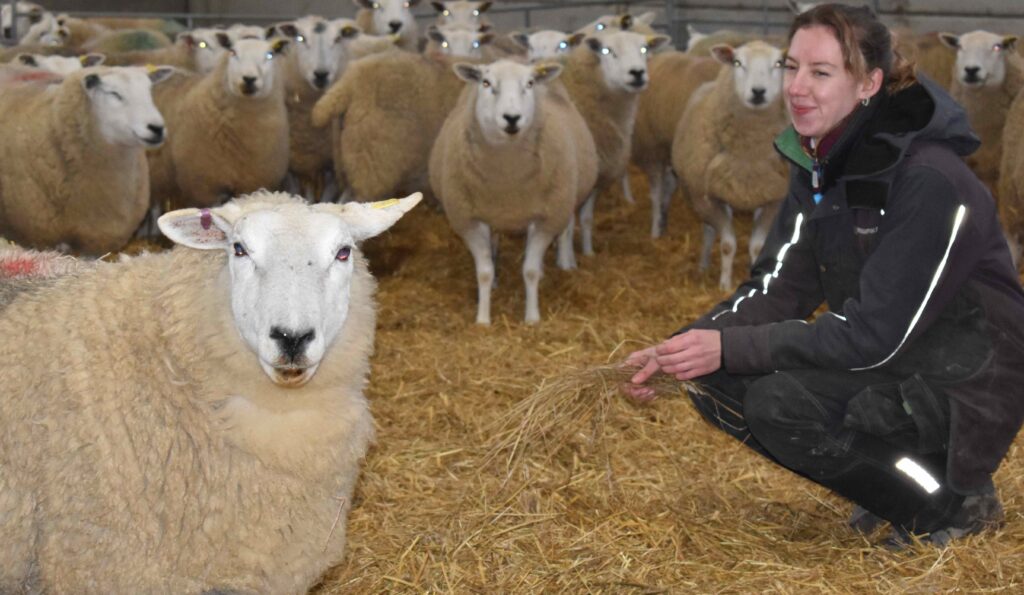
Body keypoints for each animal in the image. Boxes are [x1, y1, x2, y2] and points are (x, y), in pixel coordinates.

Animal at [273, 16, 363, 202]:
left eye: (338, 39)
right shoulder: (295, 160)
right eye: (301, 38)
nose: (321, 74)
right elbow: (298, 190)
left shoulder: (333, 162)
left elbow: (328, 195)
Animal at [430, 60, 597, 324]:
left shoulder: (545, 218)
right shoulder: (469, 220)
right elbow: (484, 272)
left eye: (529, 83)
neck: (507, 180)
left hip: (566, 197)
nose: (512, 118)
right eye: (485, 82)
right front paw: (483, 319)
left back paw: (564, 262)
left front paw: (532, 317)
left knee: (565, 230)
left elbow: (529, 270)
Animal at [559, 30, 670, 263]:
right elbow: (566, 227)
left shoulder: (595, 177)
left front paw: (588, 253)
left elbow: (587, 218)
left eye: (644, 48)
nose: (637, 73)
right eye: (607, 50)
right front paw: (566, 264)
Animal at [631, 49, 720, 238]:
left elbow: (656, 193)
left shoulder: (652, 150)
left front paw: (655, 231)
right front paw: (662, 222)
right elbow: (667, 188)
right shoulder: (667, 149)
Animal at [671, 41, 789, 290]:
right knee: (707, 231)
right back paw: (703, 264)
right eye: (737, 62)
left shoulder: (773, 200)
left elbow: (757, 246)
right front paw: (724, 284)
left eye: (779, 63)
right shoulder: (710, 199)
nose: (758, 92)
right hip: (697, 196)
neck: (749, 156)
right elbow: (727, 245)